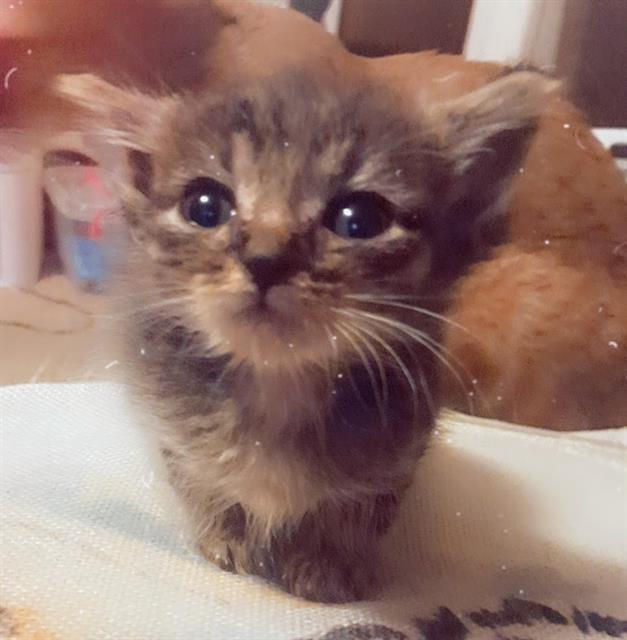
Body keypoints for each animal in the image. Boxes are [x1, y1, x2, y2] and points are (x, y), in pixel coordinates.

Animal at [55, 67, 556, 604]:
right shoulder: (168, 425)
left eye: (359, 219)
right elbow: (197, 477)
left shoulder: (401, 452)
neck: (277, 389)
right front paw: (225, 536)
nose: (264, 260)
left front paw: (329, 562)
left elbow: (362, 507)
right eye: (204, 207)